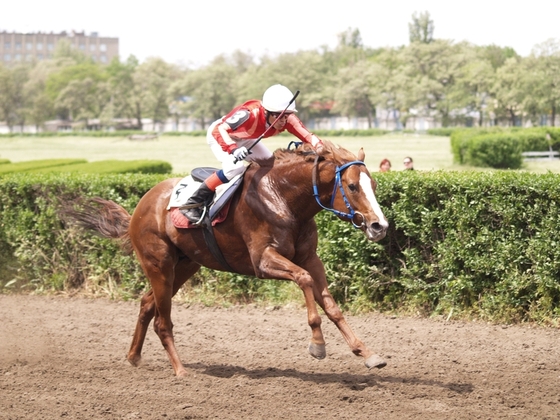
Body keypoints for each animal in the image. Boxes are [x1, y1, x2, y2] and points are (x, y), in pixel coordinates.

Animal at [68, 142, 388, 378]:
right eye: (352, 186)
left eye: (372, 184)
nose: (379, 226)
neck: (283, 198)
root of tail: (141, 205)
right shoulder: (263, 261)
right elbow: (304, 280)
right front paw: (318, 344)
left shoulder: (309, 257)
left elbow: (331, 305)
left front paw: (367, 353)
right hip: (158, 263)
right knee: (162, 320)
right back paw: (180, 370)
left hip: (186, 264)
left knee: (148, 304)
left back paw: (134, 356)